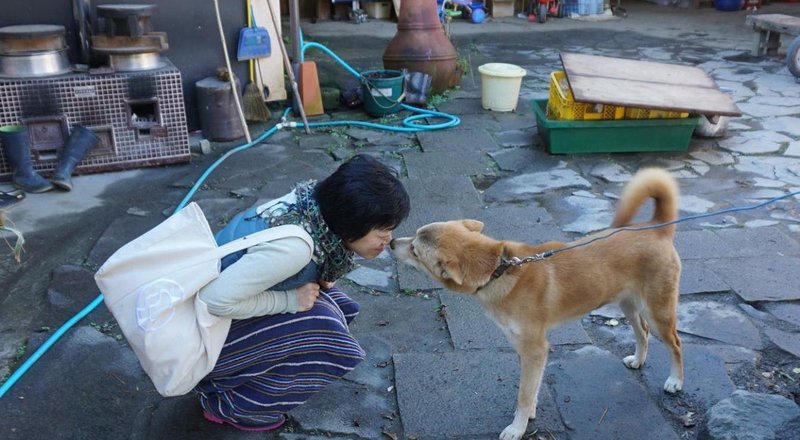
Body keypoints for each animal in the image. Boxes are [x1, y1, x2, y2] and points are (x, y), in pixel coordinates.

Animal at [390, 168, 684, 440]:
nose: (392, 242)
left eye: (415, 249)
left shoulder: (534, 349)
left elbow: (523, 393)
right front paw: (529, 413)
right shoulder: (527, 349)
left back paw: (675, 381)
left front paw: (517, 428)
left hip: (659, 311)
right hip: (629, 305)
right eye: (414, 235)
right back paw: (639, 360)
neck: (498, 270)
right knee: (642, 332)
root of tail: (658, 227)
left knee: (675, 344)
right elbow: (533, 388)